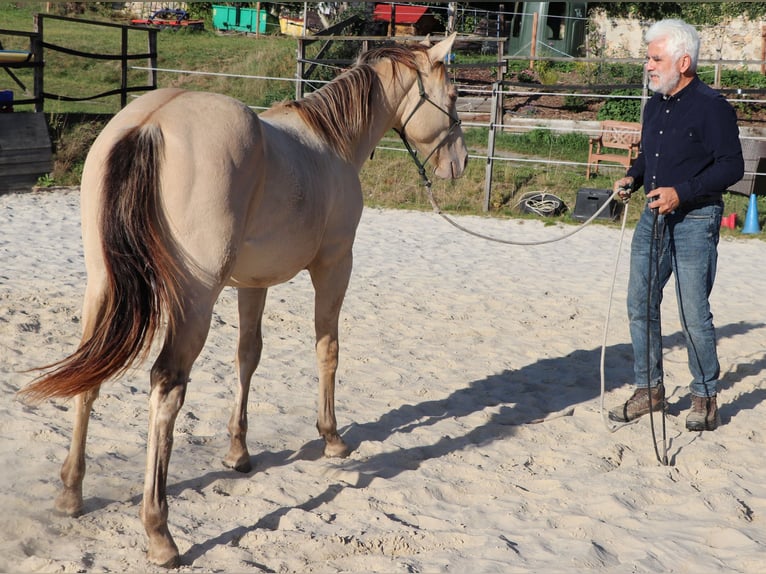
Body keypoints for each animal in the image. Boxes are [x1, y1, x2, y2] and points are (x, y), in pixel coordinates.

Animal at [21, 33, 468, 568]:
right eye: (455, 95)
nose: (460, 164)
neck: (331, 143)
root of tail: (150, 123)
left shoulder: (253, 284)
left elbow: (247, 357)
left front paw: (238, 452)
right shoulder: (335, 266)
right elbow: (328, 349)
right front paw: (332, 437)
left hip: (103, 287)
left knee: (89, 375)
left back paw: (71, 493)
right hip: (195, 301)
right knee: (165, 388)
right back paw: (159, 533)